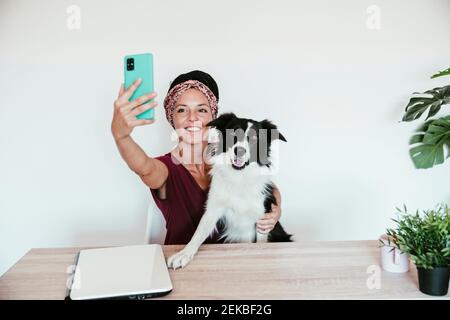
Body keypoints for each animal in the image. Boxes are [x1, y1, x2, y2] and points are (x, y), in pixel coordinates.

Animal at [168, 114, 292, 268]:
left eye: (255, 138)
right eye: (233, 133)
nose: (239, 150)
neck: (239, 177)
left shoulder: (262, 219)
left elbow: (261, 242)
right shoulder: (213, 209)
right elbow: (199, 233)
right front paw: (184, 253)